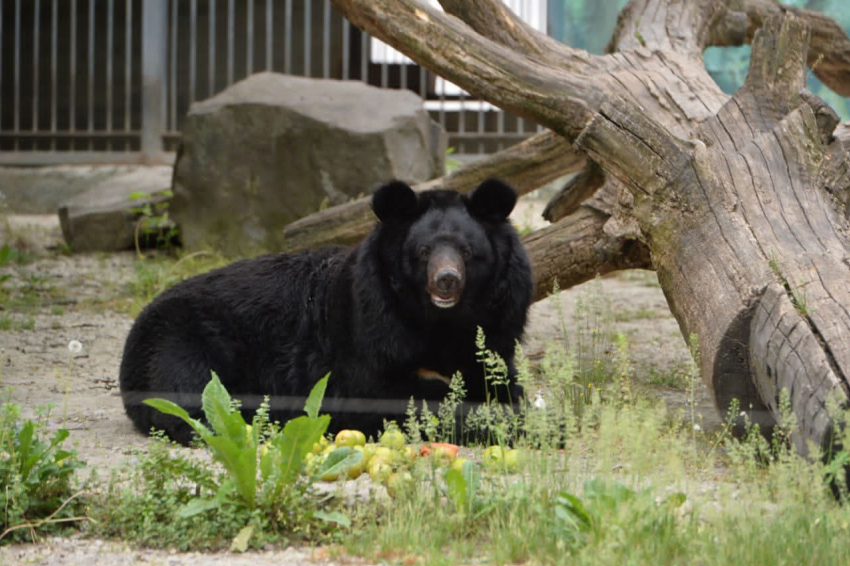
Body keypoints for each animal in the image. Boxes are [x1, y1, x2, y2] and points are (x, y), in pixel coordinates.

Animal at [119, 178, 528, 444]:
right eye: (424, 251)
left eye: (466, 251)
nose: (446, 281)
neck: (442, 321)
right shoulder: (371, 330)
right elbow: (388, 397)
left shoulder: (499, 322)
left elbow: (500, 378)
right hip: (179, 343)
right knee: (189, 400)